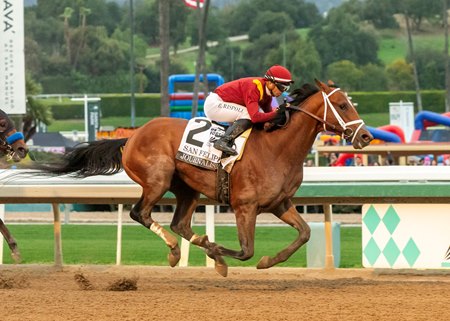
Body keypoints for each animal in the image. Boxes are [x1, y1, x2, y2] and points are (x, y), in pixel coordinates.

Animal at [34, 80, 372, 276]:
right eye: (342, 105)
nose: (366, 136)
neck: (278, 148)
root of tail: (130, 138)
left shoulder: (280, 203)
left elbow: (304, 233)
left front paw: (266, 261)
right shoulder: (245, 207)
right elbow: (246, 251)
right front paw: (218, 254)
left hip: (187, 190)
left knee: (179, 224)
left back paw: (193, 246)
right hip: (157, 180)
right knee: (140, 213)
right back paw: (175, 252)